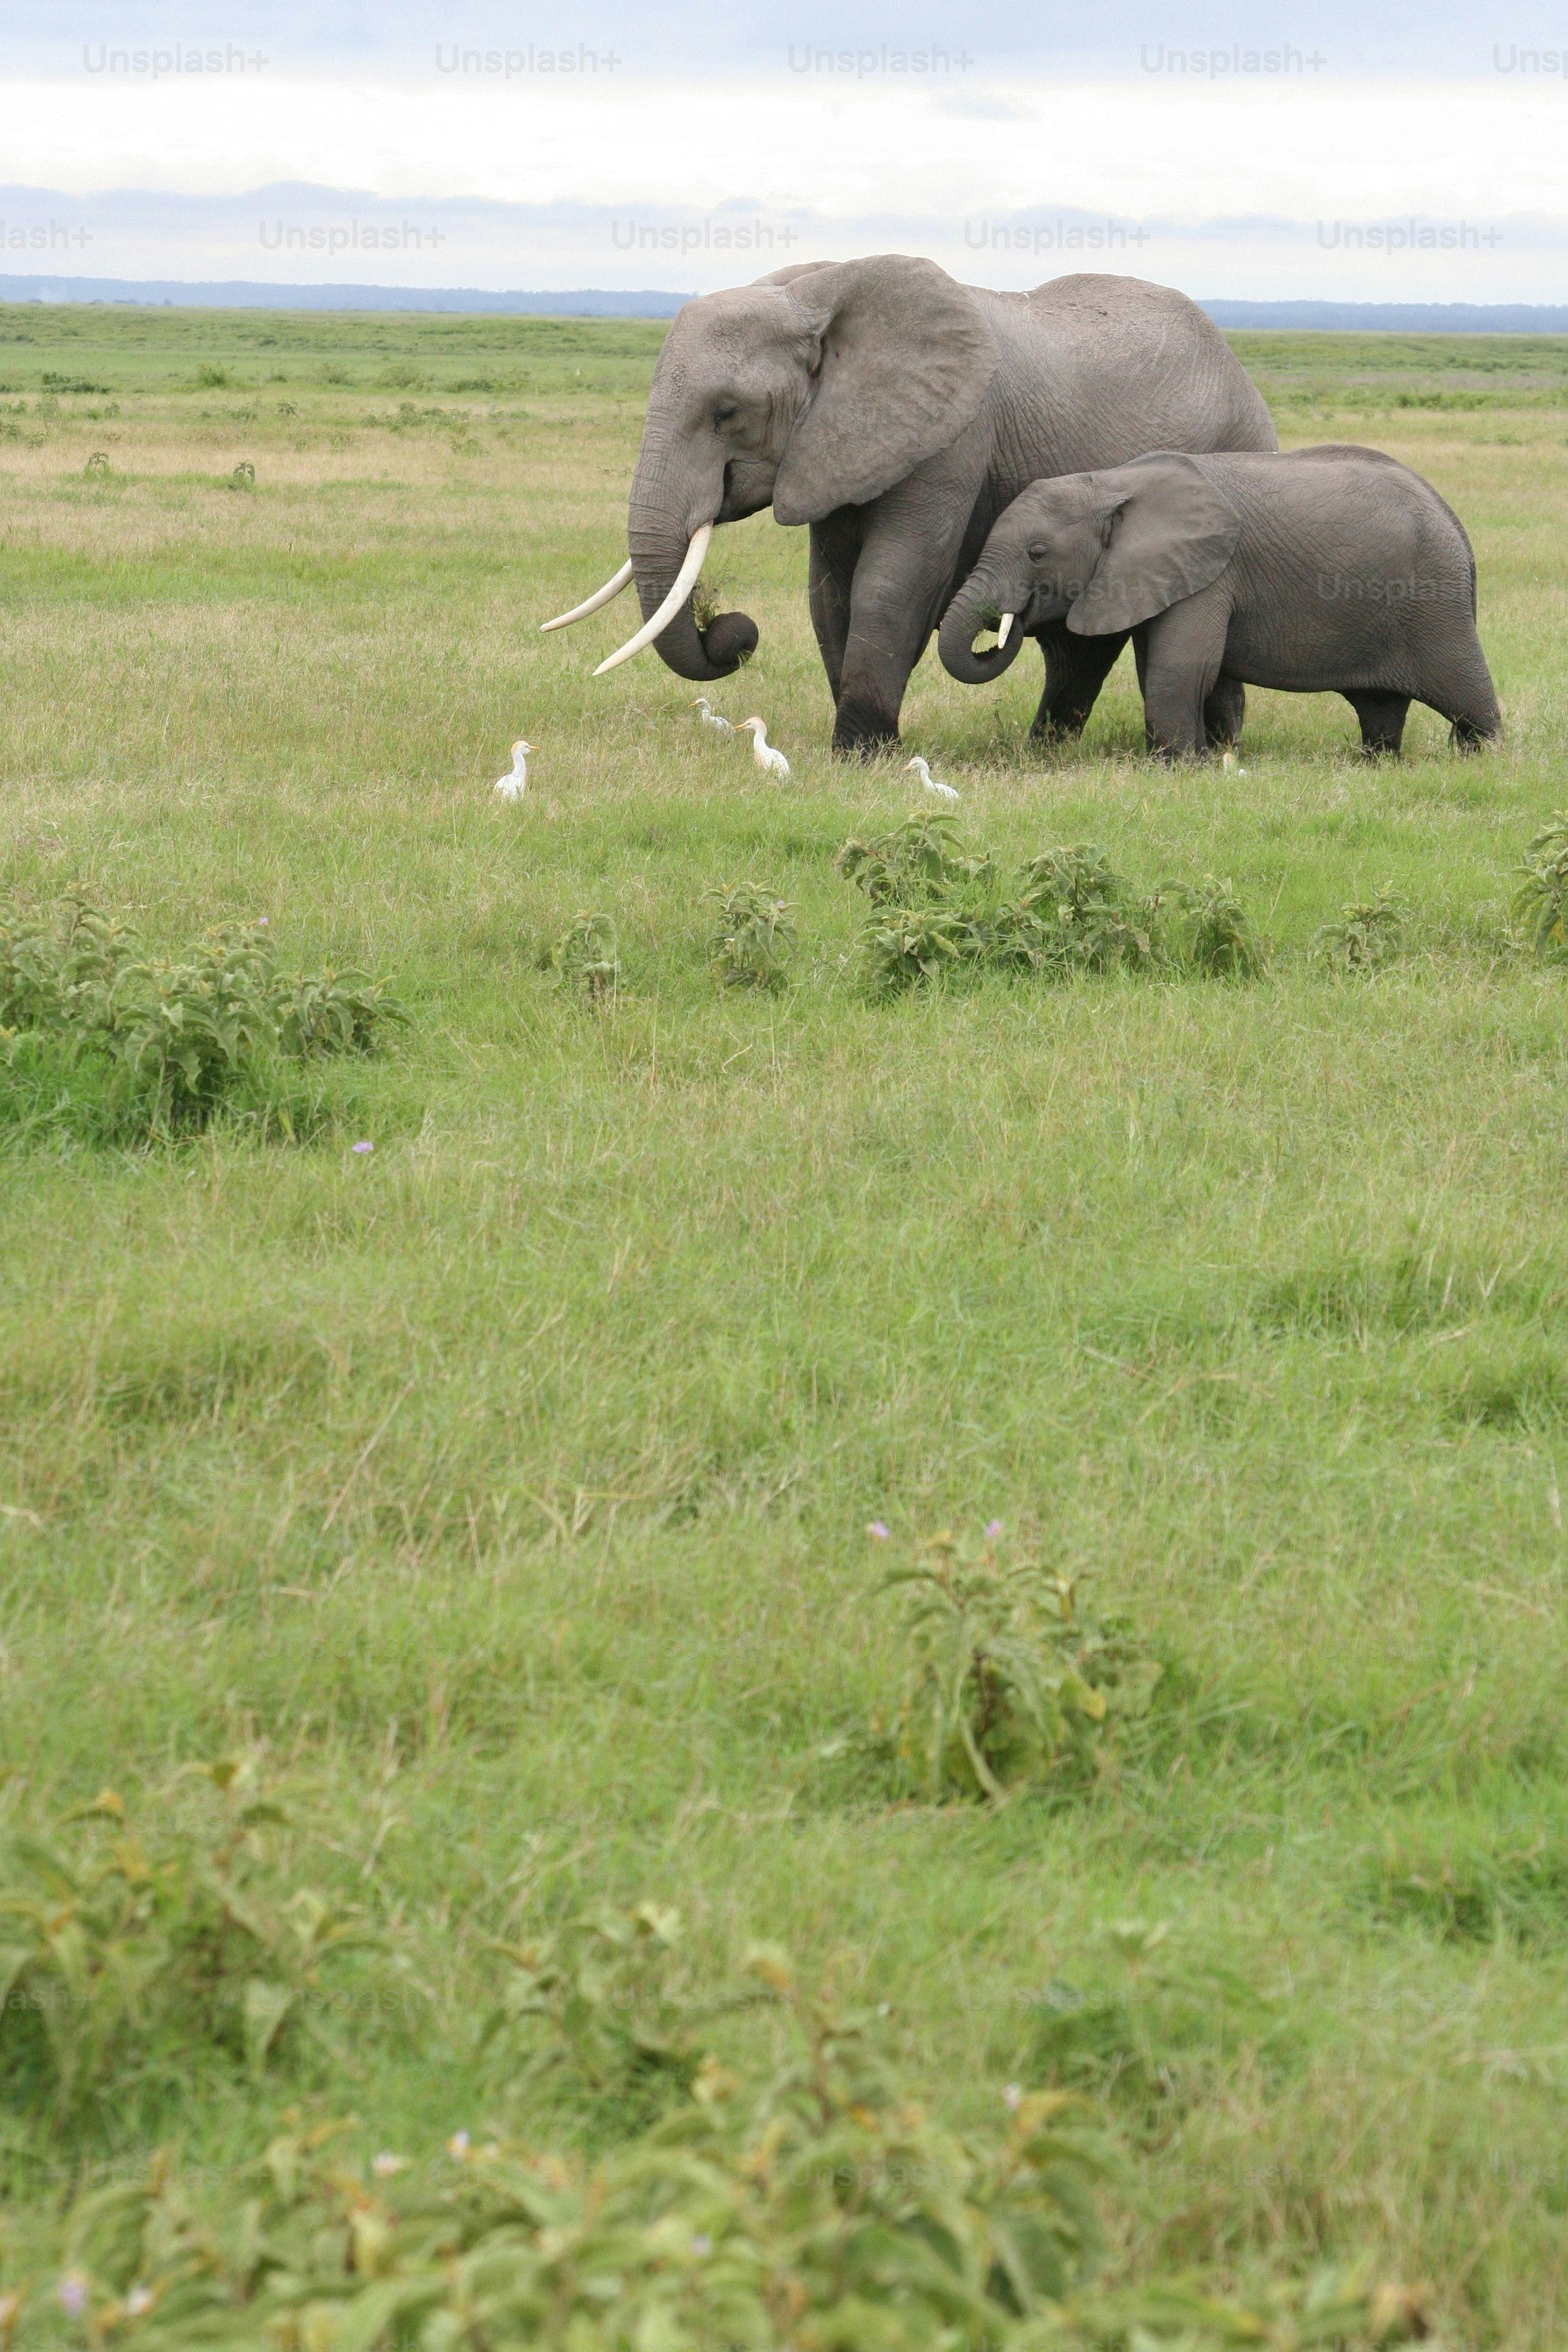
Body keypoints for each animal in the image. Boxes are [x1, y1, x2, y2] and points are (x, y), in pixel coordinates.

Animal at [541, 256, 1278, 756]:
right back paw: (1045, 753)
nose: (732, 630)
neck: (814, 294)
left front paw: (862, 754)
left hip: (1236, 448)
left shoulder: (953, 439)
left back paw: (1218, 747)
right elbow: (830, 592)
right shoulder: (837, 446)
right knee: (1077, 649)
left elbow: (893, 582)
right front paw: (862, 749)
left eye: (727, 413)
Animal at [937, 446, 1501, 758]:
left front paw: (1181, 767)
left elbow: (1182, 669)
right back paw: (1376, 764)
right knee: (1381, 712)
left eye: (1037, 554)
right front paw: (1201, 759)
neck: (1110, 482)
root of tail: (1457, 526)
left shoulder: (1212, 573)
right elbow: (1163, 668)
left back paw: (1481, 761)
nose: (1005, 623)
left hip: (1435, 606)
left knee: (1468, 701)